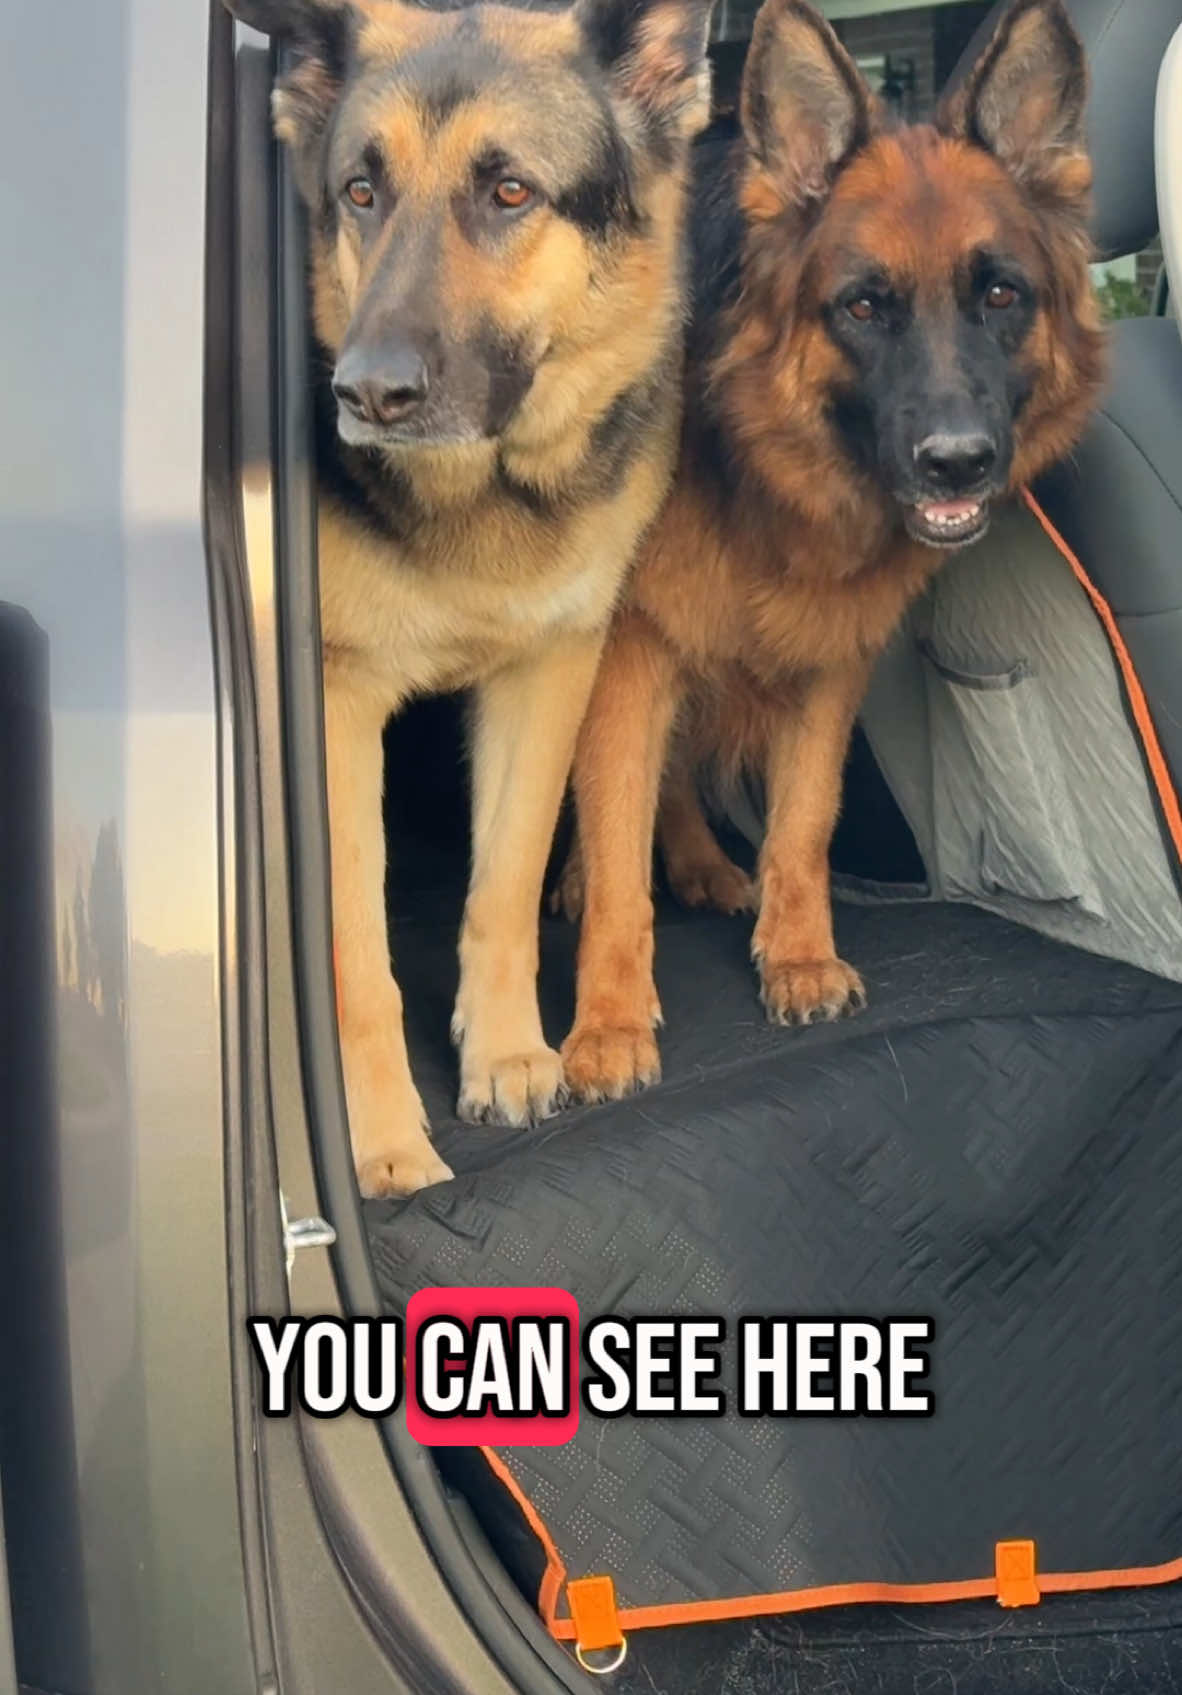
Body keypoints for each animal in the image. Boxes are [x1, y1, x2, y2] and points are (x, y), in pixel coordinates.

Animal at [227, 0, 715, 1193]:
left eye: (511, 193)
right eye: (361, 192)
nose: (365, 394)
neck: (487, 491)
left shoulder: (551, 674)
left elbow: (502, 885)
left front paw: (506, 1055)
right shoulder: (336, 710)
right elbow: (353, 954)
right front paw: (380, 1138)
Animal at [556, 0, 1098, 1098]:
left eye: (1002, 296)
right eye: (862, 306)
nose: (958, 462)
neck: (771, 475)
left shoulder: (828, 661)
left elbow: (804, 820)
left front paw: (799, 955)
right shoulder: (631, 654)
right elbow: (616, 833)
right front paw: (609, 1021)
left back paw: (707, 866)